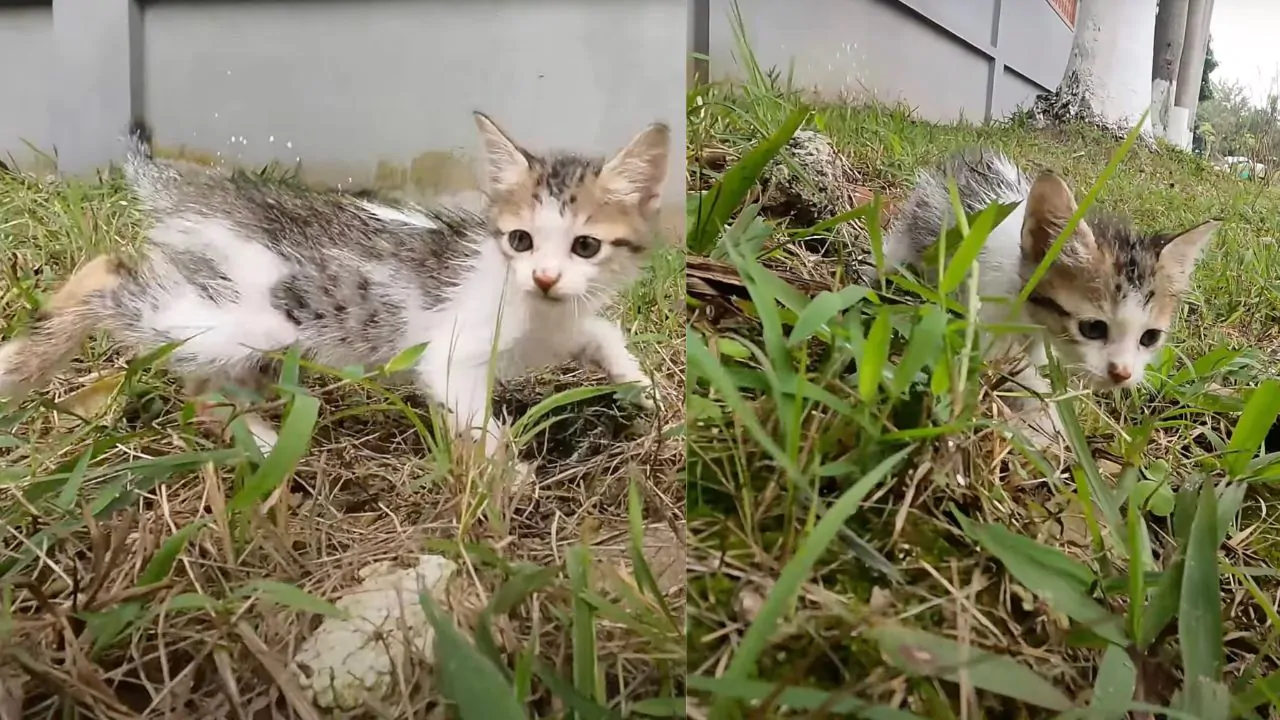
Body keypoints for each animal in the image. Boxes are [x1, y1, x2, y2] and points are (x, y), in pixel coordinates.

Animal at [0, 112, 675, 458]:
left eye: (585, 246)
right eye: (521, 240)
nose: (544, 276)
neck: (538, 310)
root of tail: (201, 190)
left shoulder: (569, 317)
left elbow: (601, 332)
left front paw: (645, 392)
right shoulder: (452, 354)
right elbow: (473, 414)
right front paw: (508, 482)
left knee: (201, 386)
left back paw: (263, 440)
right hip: (253, 318)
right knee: (108, 272)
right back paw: (20, 363)